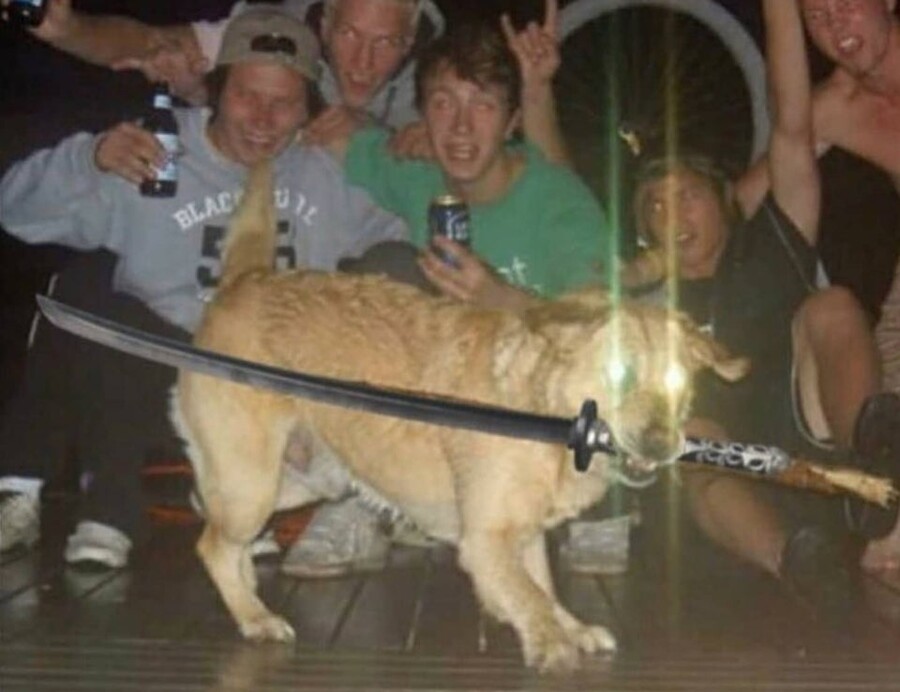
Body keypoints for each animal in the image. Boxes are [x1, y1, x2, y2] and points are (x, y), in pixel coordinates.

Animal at [171, 162, 748, 673]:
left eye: (679, 380)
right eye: (618, 371)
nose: (660, 444)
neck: (543, 414)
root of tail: (244, 280)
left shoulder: (524, 535)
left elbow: (544, 588)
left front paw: (574, 630)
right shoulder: (484, 541)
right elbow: (530, 598)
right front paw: (551, 643)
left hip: (300, 480)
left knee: (223, 538)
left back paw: (251, 604)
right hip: (251, 485)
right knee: (212, 546)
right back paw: (256, 619)